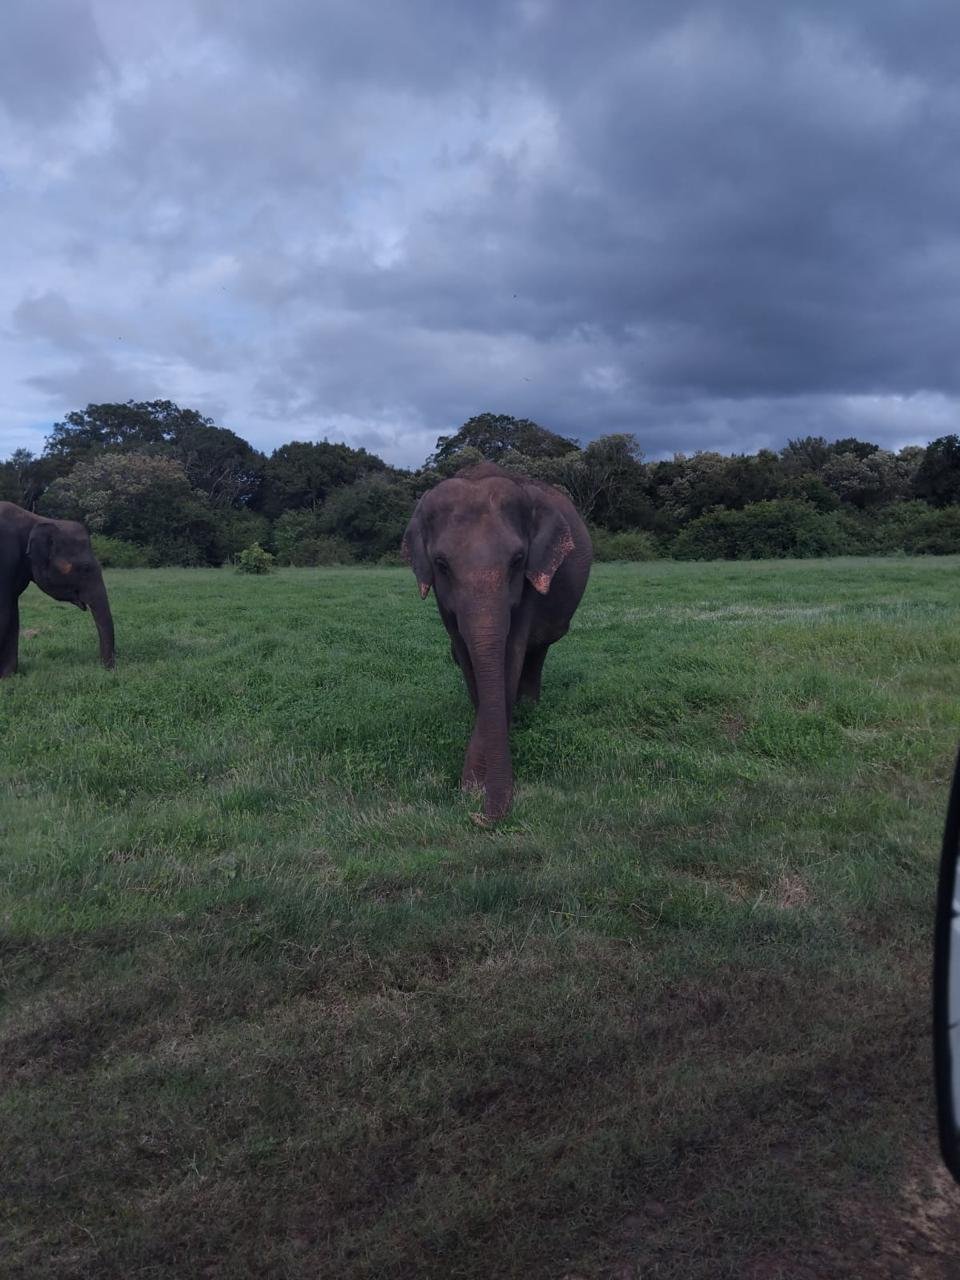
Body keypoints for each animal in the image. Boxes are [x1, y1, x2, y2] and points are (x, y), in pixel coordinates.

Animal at [0, 501, 116, 678]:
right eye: (86, 568)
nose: (108, 668)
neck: (37, 519)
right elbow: (4, 614)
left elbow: (12, 614)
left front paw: (8, 677)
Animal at [403, 462, 592, 823]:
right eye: (441, 564)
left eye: (517, 560)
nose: (480, 817)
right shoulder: (441, 599)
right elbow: (466, 653)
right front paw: (474, 786)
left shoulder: (531, 583)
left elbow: (511, 655)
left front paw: (475, 785)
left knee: (537, 653)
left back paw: (527, 708)